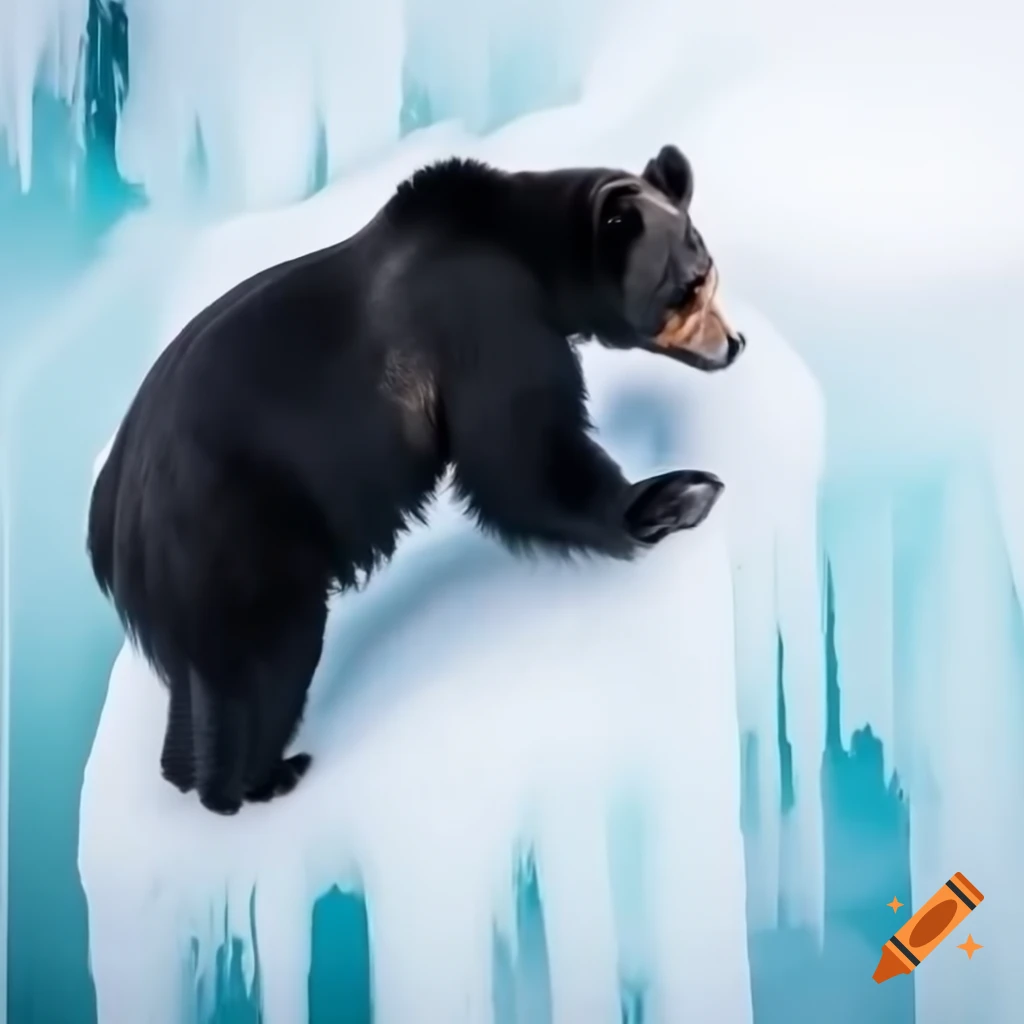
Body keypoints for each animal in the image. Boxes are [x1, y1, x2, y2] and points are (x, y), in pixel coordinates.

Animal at [86, 143, 746, 816]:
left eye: (708, 270)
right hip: (239, 531)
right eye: (688, 286)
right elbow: (522, 456)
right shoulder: (483, 320)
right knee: (265, 660)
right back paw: (258, 779)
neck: (529, 253)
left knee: (198, 679)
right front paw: (672, 494)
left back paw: (187, 769)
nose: (734, 343)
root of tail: (112, 527)